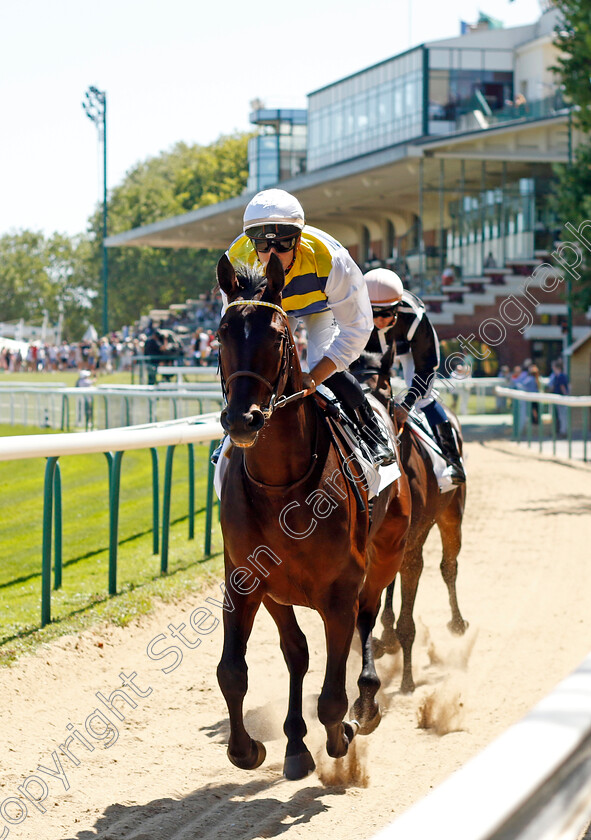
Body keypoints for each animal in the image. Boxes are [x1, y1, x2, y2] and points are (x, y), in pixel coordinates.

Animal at [216, 254, 412, 780]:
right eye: (222, 333)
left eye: (279, 335)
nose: (243, 419)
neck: (281, 488)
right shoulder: (248, 582)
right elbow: (236, 670)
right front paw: (255, 749)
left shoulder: (339, 590)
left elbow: (331, 696)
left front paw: (343, 731)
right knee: (299, 653)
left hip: (388, 551)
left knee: (366, 622)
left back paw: (366, 705)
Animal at [352, 352, 468, 692]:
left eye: (384, 388)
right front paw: (381, 642)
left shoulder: (412, 545)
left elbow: (407, 618)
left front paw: (406, 681)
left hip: (452, 513)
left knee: (449, 565)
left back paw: (457, 623)